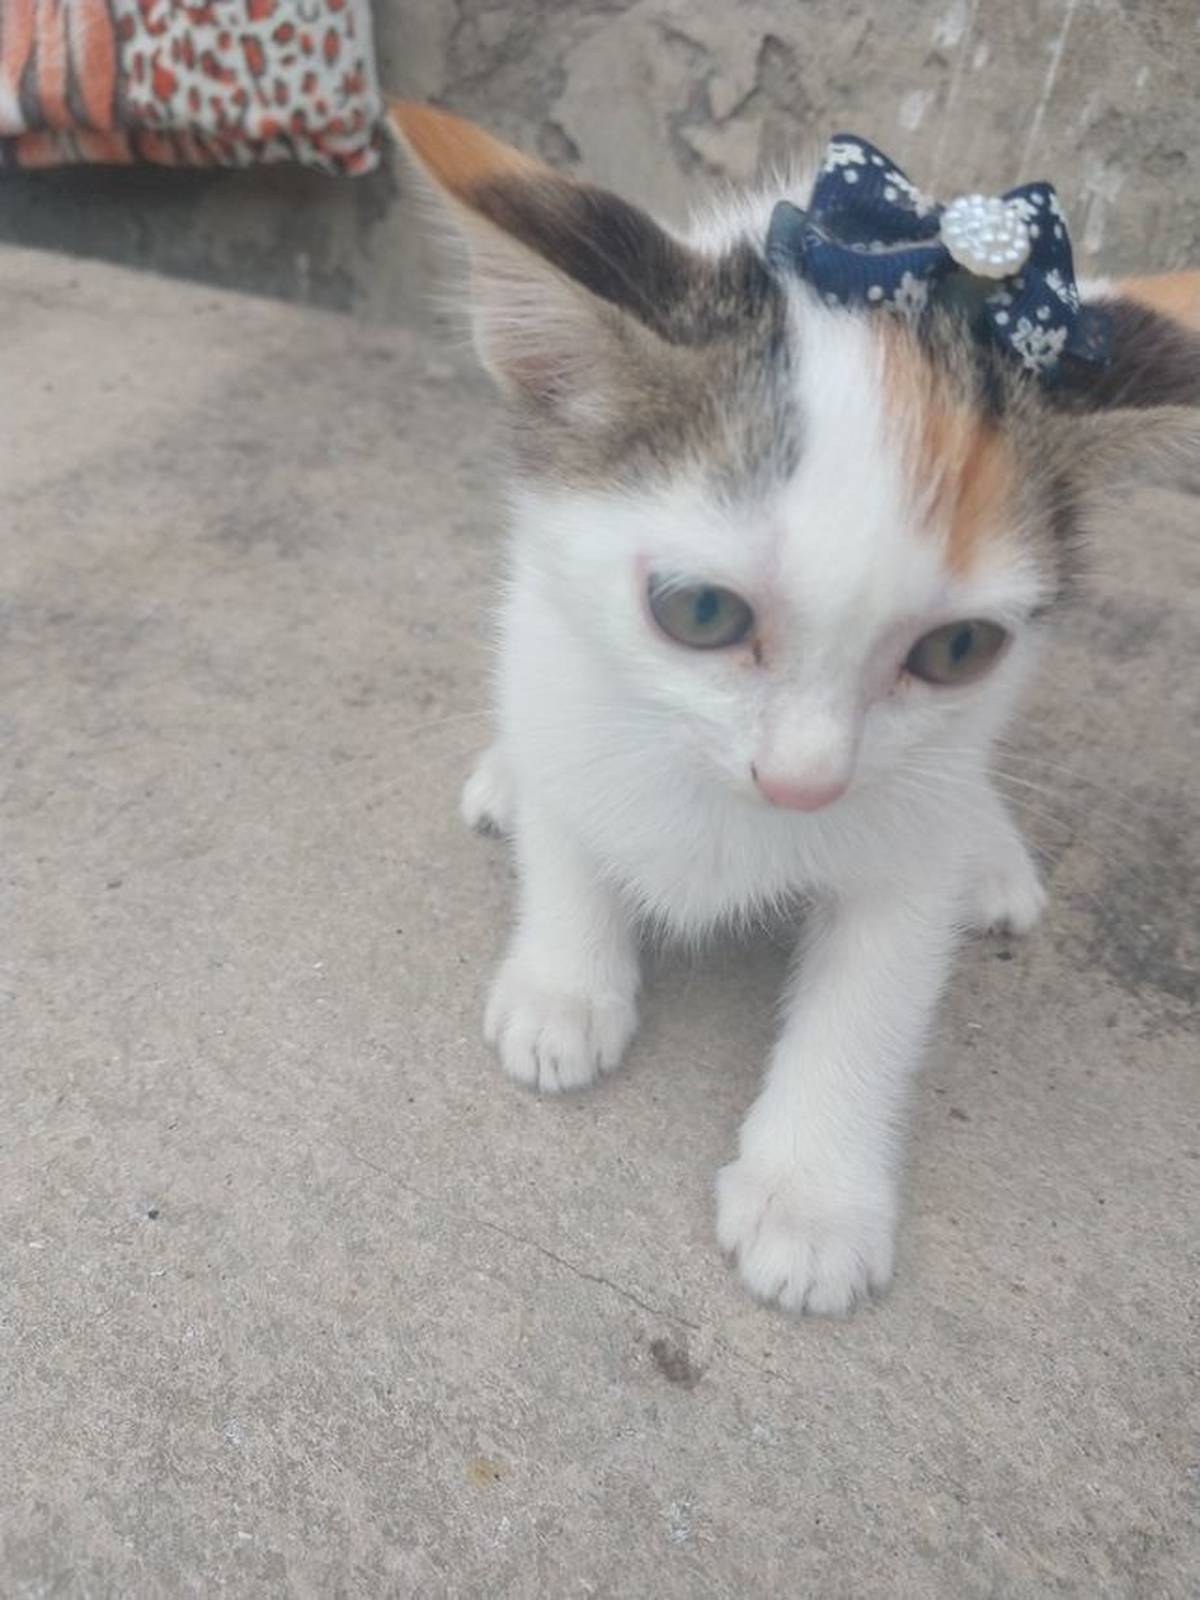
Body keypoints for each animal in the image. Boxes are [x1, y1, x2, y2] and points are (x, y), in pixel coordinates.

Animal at [390, 101, 1199, 1316]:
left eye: (958, 648)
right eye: (701, 612)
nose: (806, 784)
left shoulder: (914, 819)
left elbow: (876, 985)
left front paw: (813, 1199)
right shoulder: (548, 632)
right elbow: (571, 806)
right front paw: (564, 982)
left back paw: (992, 854)